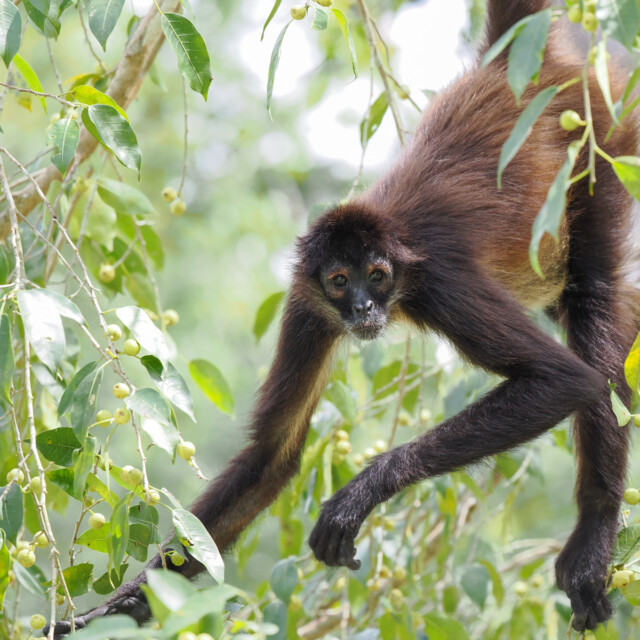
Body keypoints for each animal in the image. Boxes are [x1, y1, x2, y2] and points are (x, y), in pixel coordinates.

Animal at [48, 0, 640, 635]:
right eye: (339, 281)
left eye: (376, 276)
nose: (361, 307)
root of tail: (508, 62)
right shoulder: (307, 304)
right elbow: (271, 455)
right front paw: (129, 599)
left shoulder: (440, 285)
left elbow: (564, 379)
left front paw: (362, 491)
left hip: (603, 142)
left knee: (593, 301)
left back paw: (595, 533)